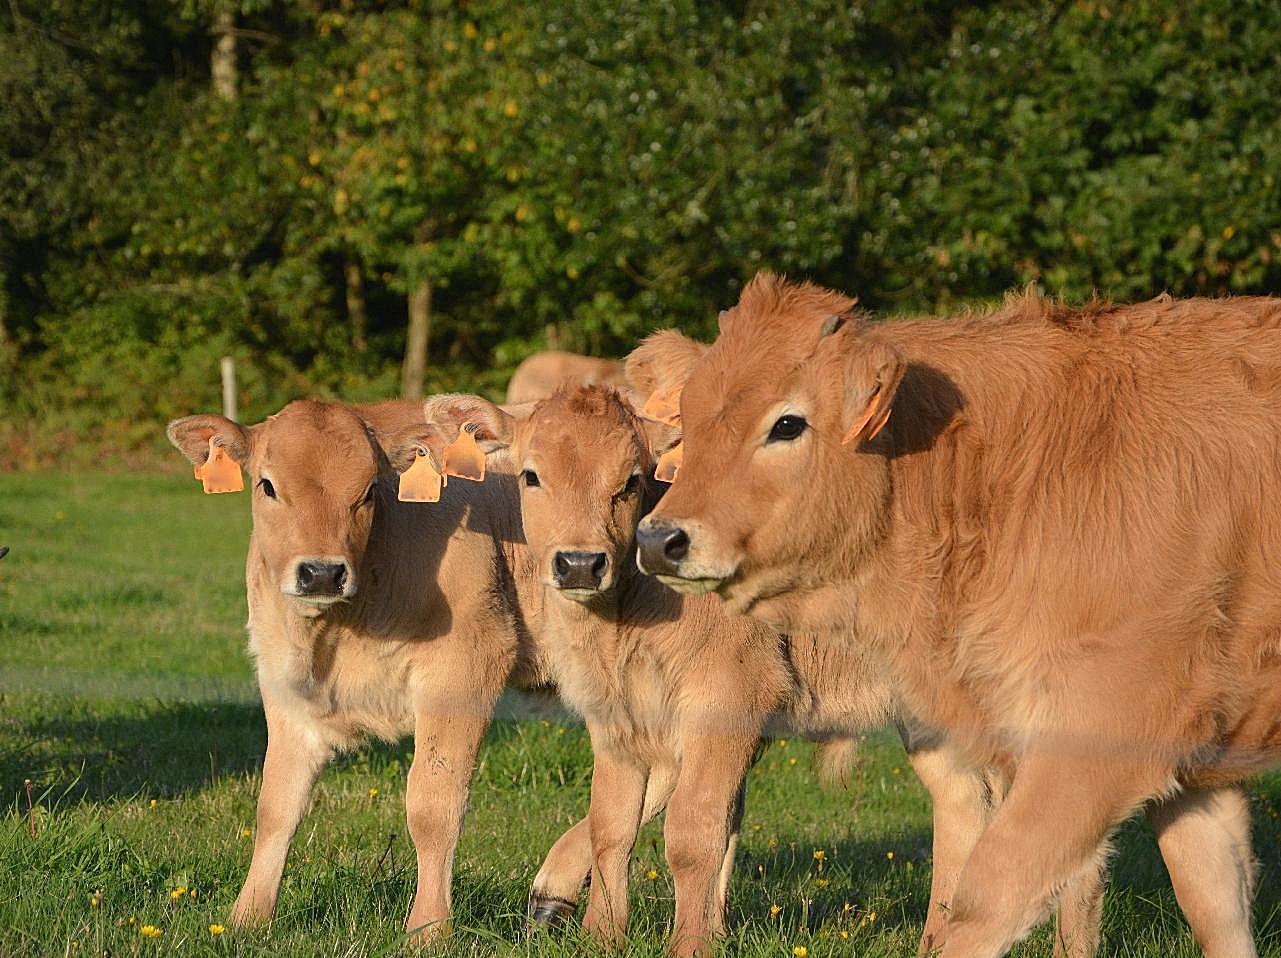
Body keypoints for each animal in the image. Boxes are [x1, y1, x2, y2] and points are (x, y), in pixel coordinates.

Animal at [635, 272, 1265, 952]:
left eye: (787, 423)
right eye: (688, 417)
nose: (658, 540)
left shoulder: (1097, 734)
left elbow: (996, 889)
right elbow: (1216, 898)